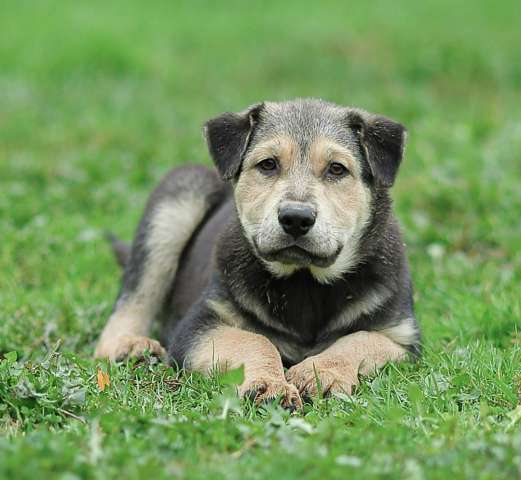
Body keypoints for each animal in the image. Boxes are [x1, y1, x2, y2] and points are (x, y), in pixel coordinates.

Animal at [94, 97, 418, 408]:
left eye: (337, 169)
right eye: (268, 164)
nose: (295, 218)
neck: (304, 283)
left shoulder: (404, 338)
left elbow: (361, 338)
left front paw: (320, 373)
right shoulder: (199, 324)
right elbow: (254, 340)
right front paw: (269, 385)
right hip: (177, 198)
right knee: (132, 299)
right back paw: (131, 347)